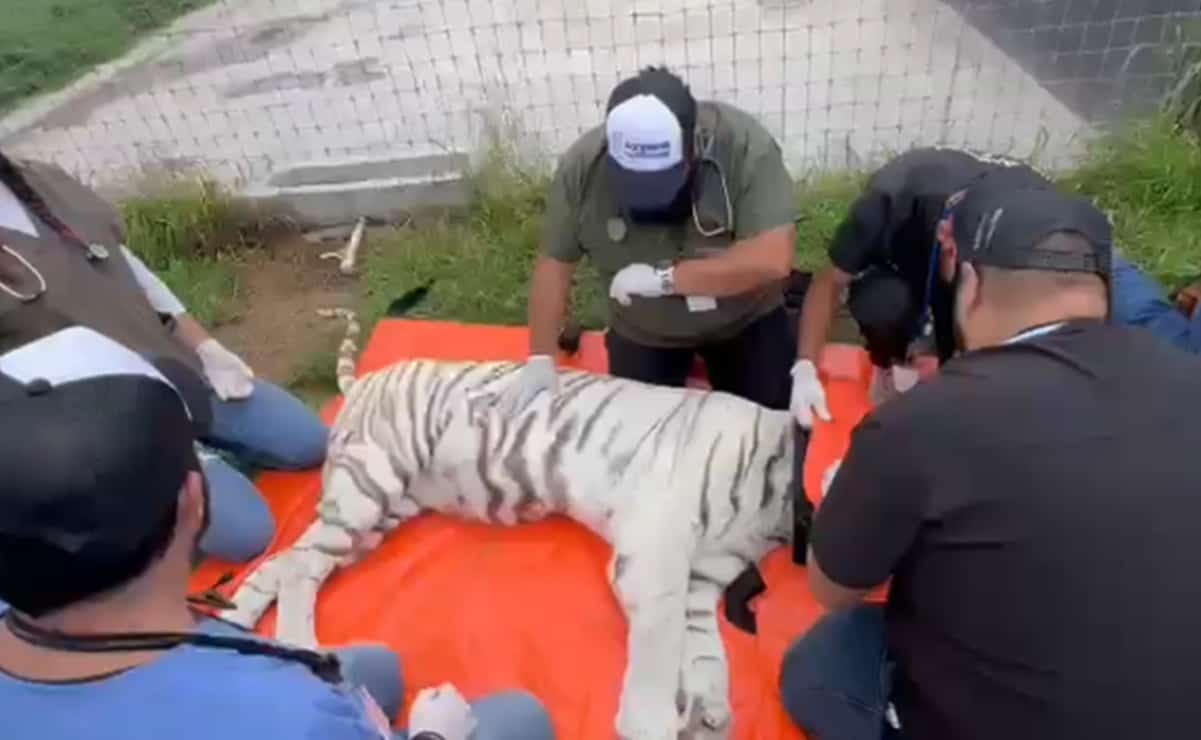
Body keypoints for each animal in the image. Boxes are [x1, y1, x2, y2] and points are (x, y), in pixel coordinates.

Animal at [225, 309, 807, 740]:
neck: (769, 505)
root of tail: (365, 377)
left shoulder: (704, 576)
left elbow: (706, 647)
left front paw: (711, 710)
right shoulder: (654, 553)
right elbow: (661, 645)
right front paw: (653, 723)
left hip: (372, 516)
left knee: (287, 559)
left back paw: (239, 620)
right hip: (369, 487)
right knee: (299, 568)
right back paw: (300, 646)